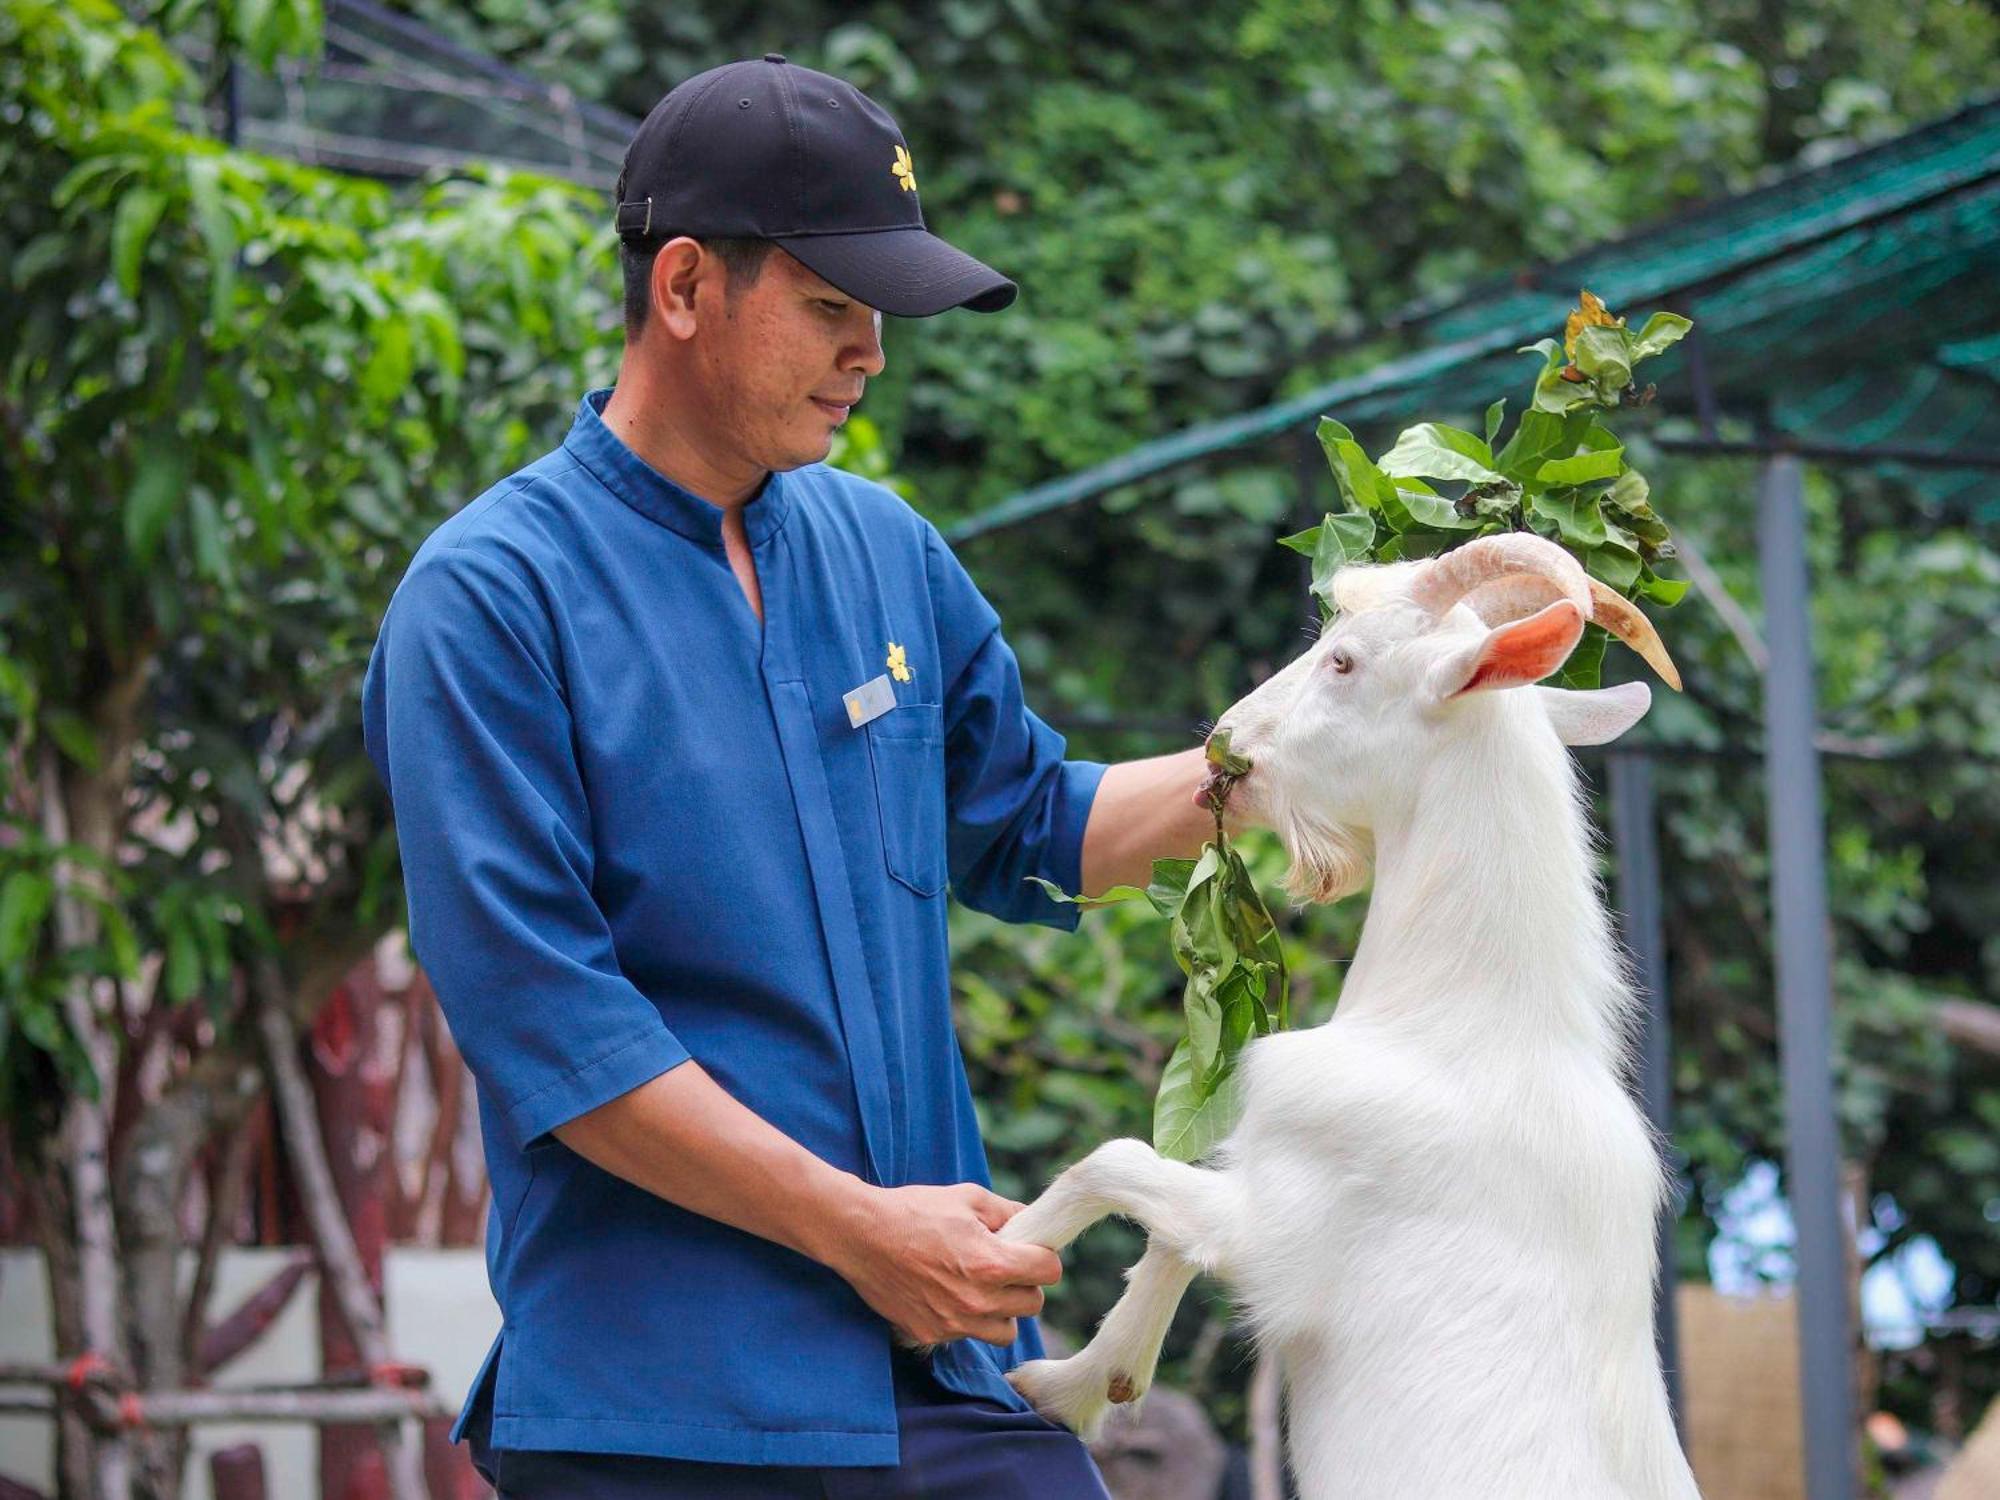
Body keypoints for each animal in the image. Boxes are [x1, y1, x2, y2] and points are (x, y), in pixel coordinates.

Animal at [1000, 536, 1704, 1500]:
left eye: (1344, 661)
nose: (1224, 745)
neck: (1458, 1031)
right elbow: (1165, 1232)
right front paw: (1089, 1379)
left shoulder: (1280, 1228)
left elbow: (1119, 1166)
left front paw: (998, 1271)